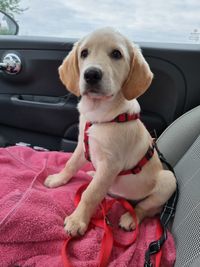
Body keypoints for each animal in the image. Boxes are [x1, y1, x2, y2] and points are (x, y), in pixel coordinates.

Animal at [44, 27, 177, 237]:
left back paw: (130, 218)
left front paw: (77, 220)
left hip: (167, 181)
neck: (99, 114)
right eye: (84, 53)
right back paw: (92, 175)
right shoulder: (83, 145)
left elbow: (91, 193)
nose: (91, 74)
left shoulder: (111, 165)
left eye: (116, 54)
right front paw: (59, 179)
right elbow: (70, 164)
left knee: (147, 208)